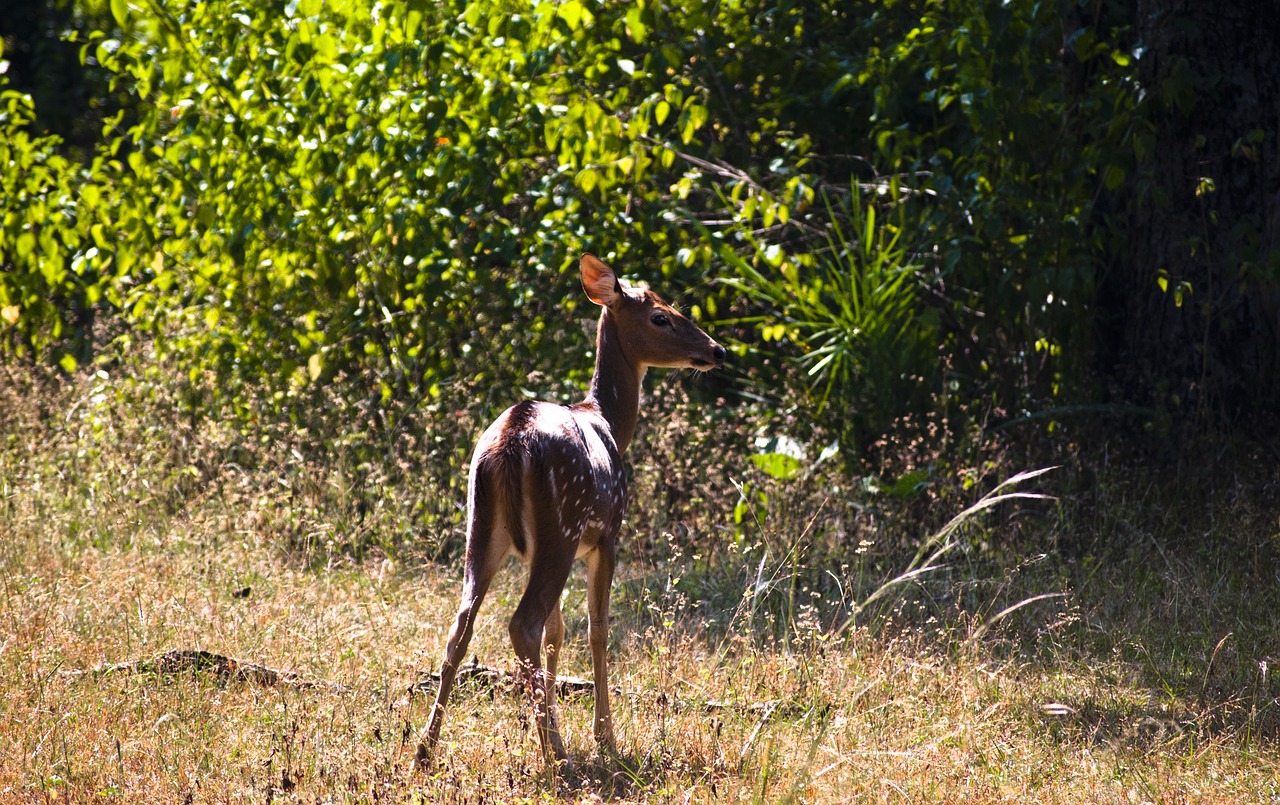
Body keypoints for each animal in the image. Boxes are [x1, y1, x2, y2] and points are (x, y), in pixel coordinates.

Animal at [414, 254, 727, 767]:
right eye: (660, 316)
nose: (716, 351)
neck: (609, 423)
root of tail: (511, 440)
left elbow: (558, 631)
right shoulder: (607, 535)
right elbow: (597, 628)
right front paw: (605, 737)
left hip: (483, 527)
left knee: (463, 624)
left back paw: (426, 748)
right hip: (561, 525)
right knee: (522, 622)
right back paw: (556, 753)